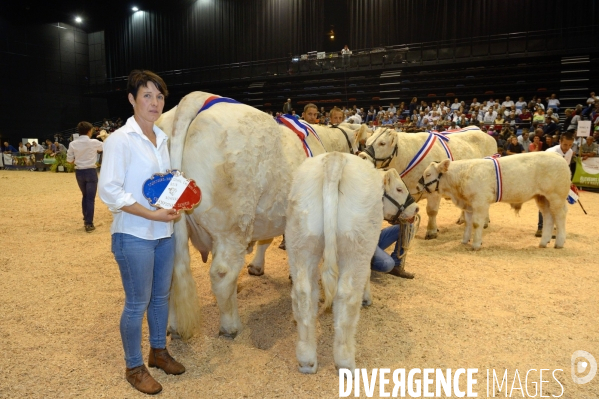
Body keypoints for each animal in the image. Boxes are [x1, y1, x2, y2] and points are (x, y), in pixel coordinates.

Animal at [286, 152, 418, 374]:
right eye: (399, 189)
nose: (416, 208)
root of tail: (335, 158)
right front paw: (367, 297)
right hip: (356, 245)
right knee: (346, 296)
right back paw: (345, 361)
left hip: (301, 242)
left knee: (303, 293)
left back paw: (307, 360)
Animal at [360, 128, 496, 239]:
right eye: (367, 142)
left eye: (382, 143)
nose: (361, 156)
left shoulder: (434, 190)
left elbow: (431, 211)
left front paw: (431, 231)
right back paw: (462, 219)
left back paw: (485, 221)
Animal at [422, 153, 572, 250]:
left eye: (428, 174)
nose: (419, 185)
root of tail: (559, 156)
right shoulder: (469, 205)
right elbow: (468, 223)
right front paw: (464, 241)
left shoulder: (480, 202)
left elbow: (476, 223)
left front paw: (476, 245)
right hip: (542, 198)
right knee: (548, 217)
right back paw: (543, 242)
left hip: (556, 196)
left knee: (559, 216)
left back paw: (559, 243)